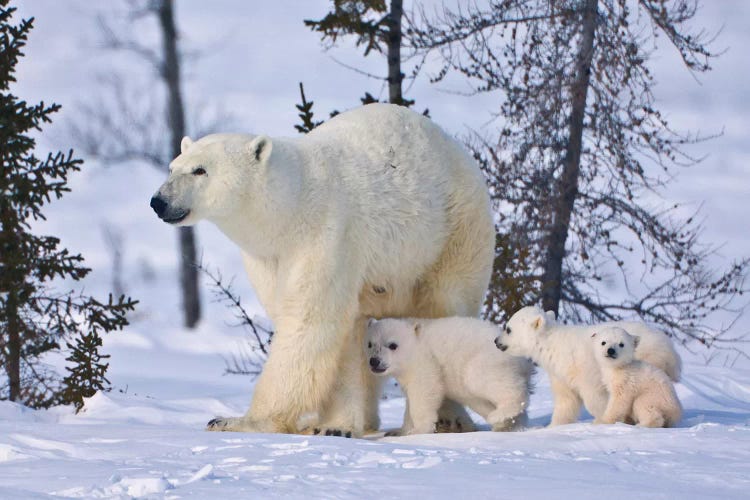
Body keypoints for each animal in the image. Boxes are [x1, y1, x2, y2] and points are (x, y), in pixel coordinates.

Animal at [150, 103, 496, 436]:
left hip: (452, 232)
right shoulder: (270, 259)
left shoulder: (326, 235)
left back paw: (449, 418)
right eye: (173, 167)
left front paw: (238, 421)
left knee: (443, 306)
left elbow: (309, 321)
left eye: (200, 170)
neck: (290, 207)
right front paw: (329, 425)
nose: (159, 201)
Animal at [368, 318, 536, 436]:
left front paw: (418, 430)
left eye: (392, 345)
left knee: (483, 380)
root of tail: (524, 363)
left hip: (486, 361)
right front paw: (397, 431)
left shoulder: (426, 362)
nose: (374, 361)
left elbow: (424, 392)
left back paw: (498, 415)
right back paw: (506, 424)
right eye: (370, 344)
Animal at [496, 304, 684, 426]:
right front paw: (552, 426)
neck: (554, 345)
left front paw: (602, 419)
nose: (496, 341)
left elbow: (594, 398)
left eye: (508, 328)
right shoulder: (560, 373)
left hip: (648, 360)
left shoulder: (582, 369)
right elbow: (566, 400)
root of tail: (670, 347)